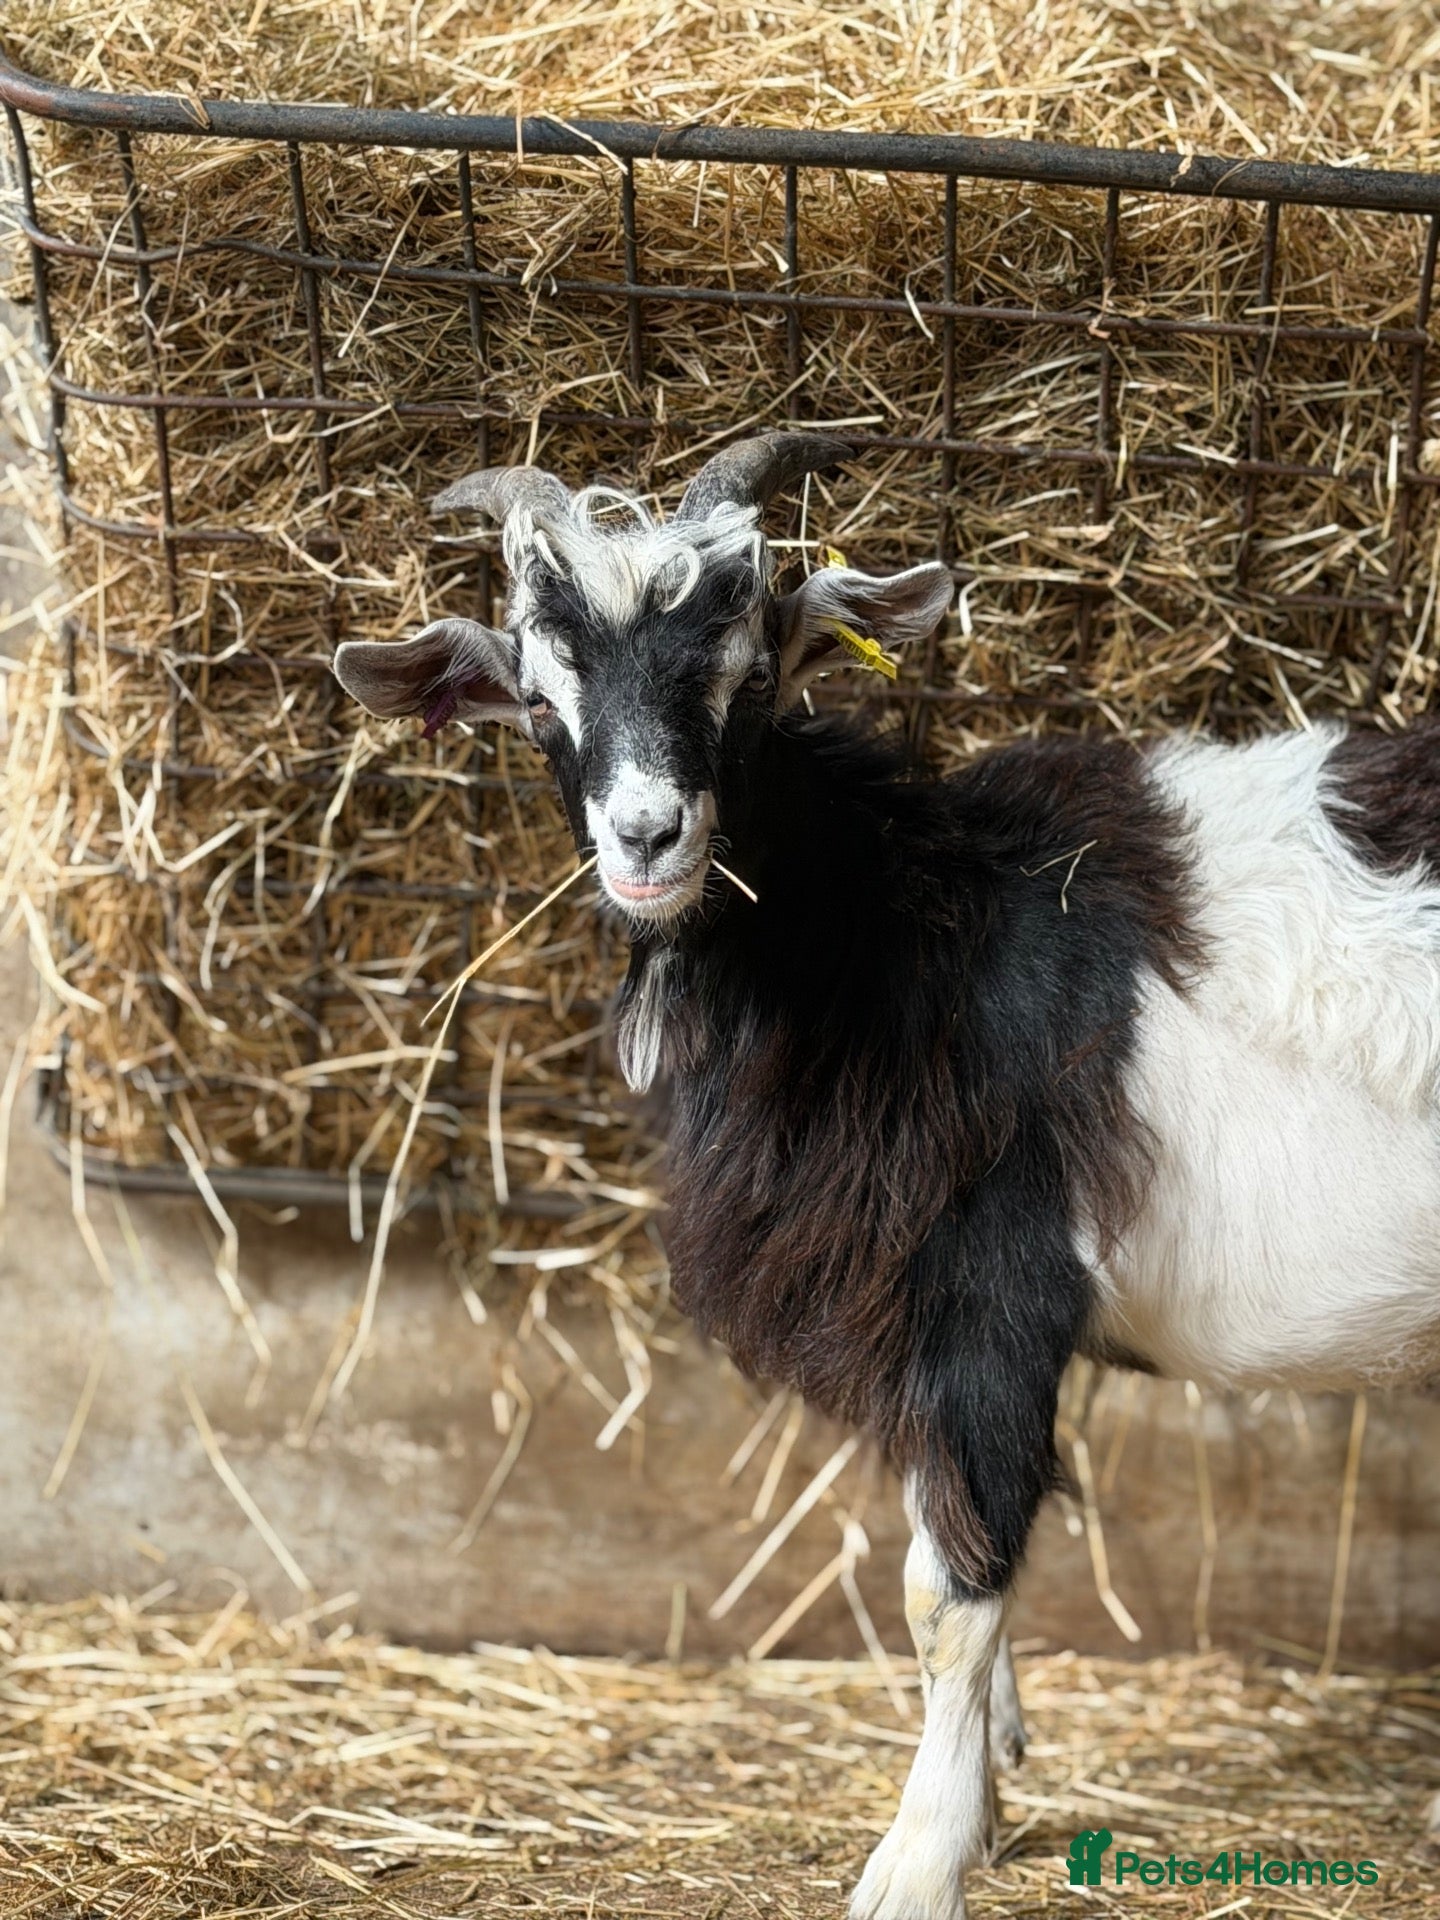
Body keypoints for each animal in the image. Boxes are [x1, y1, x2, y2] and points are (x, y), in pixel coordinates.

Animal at [334, 433, 1440, 1920]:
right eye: (537, 697)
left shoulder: (994, 1281)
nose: (648, 836)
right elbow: (952, 1544)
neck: (905, 929)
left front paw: (916, 1861)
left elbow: (944, 1591)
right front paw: (989, 1790)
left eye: (751, 674)